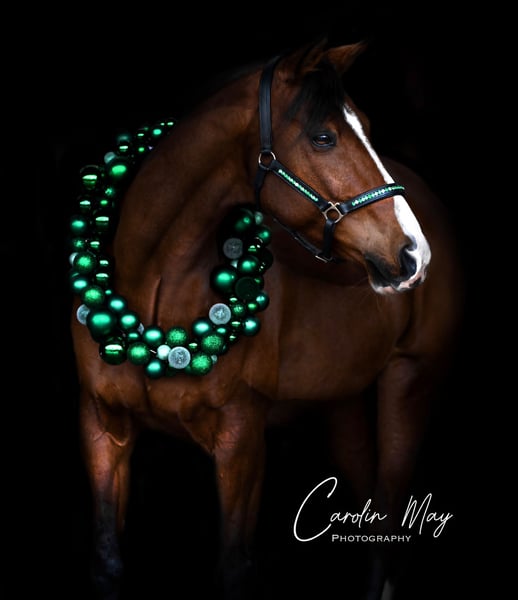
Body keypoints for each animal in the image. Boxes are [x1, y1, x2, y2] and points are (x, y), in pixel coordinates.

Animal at [68, 39, 464, 599]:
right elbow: (106, 561)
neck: (153, 292)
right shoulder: (102, 427)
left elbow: (234, 568)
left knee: (388, 528)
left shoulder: (241, 439)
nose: (413, 253)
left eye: (365, 125)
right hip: (341, 407)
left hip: (410, 384)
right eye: (323, 137)